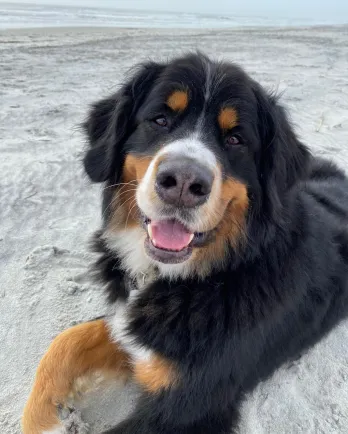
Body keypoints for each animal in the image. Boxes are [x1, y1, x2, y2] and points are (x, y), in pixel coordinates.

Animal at [21, 51, 348, 434]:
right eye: (160, 119)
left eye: (235, 139)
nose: (182, 181)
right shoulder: (133, 330)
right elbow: (67, 341)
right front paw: (45, 419)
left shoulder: (186, 406)